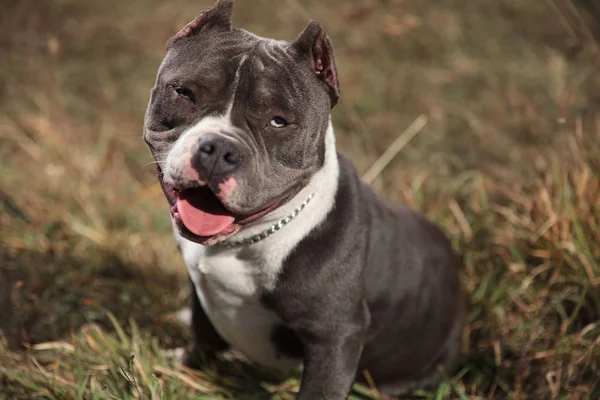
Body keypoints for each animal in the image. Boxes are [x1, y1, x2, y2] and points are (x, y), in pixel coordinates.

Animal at [143, 1, 466, 398]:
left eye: (279, 121)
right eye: (185, 93)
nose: (218, 149)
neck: (243, 242)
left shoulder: (334, 335)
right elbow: (204, 332)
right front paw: (189, 365)